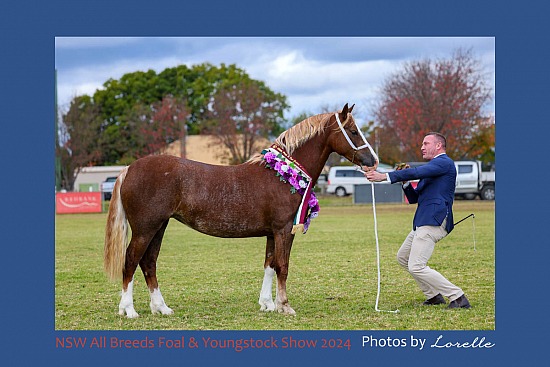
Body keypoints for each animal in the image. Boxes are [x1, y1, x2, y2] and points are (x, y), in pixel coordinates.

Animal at [103, 102, 380, 318]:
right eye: (353, 131)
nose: (373, 161)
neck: (282, 174)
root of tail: (130, 168)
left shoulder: (271, 233)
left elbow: (269, 265)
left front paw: (268, 304)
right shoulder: (283, 230)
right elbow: (283, 266)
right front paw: (285, 306)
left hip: (159, 226)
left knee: (148, 263)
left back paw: (161, 308)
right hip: (145, 229)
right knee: (130, 261)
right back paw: (129, 310)